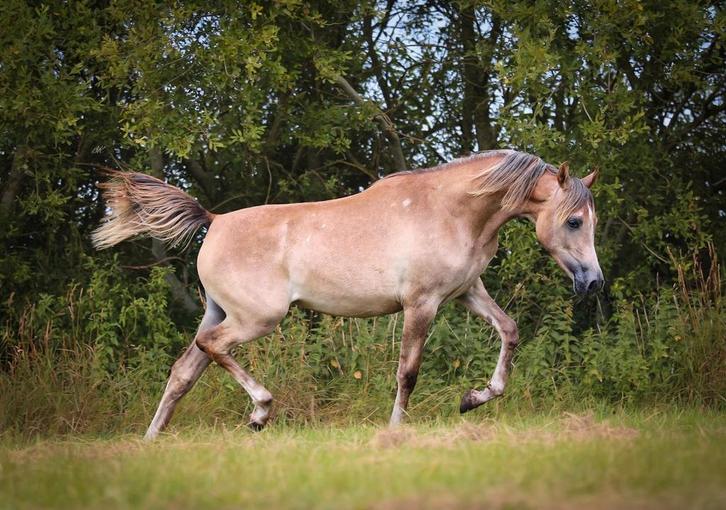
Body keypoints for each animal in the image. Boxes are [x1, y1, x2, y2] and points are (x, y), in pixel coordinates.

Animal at [92, 149, 602, 440]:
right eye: (575, 221)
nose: (593, 282)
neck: (454, 210)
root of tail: (213, 221)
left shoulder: (464, 293)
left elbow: (509, 331)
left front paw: (474, 398)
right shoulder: (421, 304)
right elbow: (408, 373)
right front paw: (396, 428)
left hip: (219, 312)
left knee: (184, 371)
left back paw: (152, 440)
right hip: (257, 319)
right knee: (212, 348)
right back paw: (260, 412)